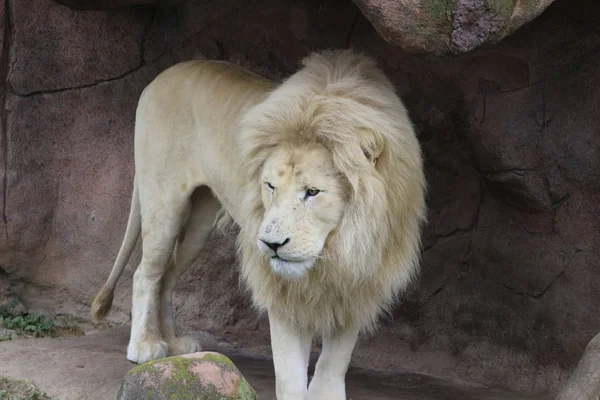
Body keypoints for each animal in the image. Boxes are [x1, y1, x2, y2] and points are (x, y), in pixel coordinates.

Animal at [90, 50, 426, 400]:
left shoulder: (361, 281)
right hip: (164, 202)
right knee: (146, 274)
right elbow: (290, 373)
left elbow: (335, 359)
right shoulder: (280, 286)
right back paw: (145, 346)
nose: (271, 245)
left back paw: (175, 345)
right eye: (270, 186)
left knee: (167, 276)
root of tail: (155, 81)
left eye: (312, 192)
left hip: (200, 223)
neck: (339, 246)